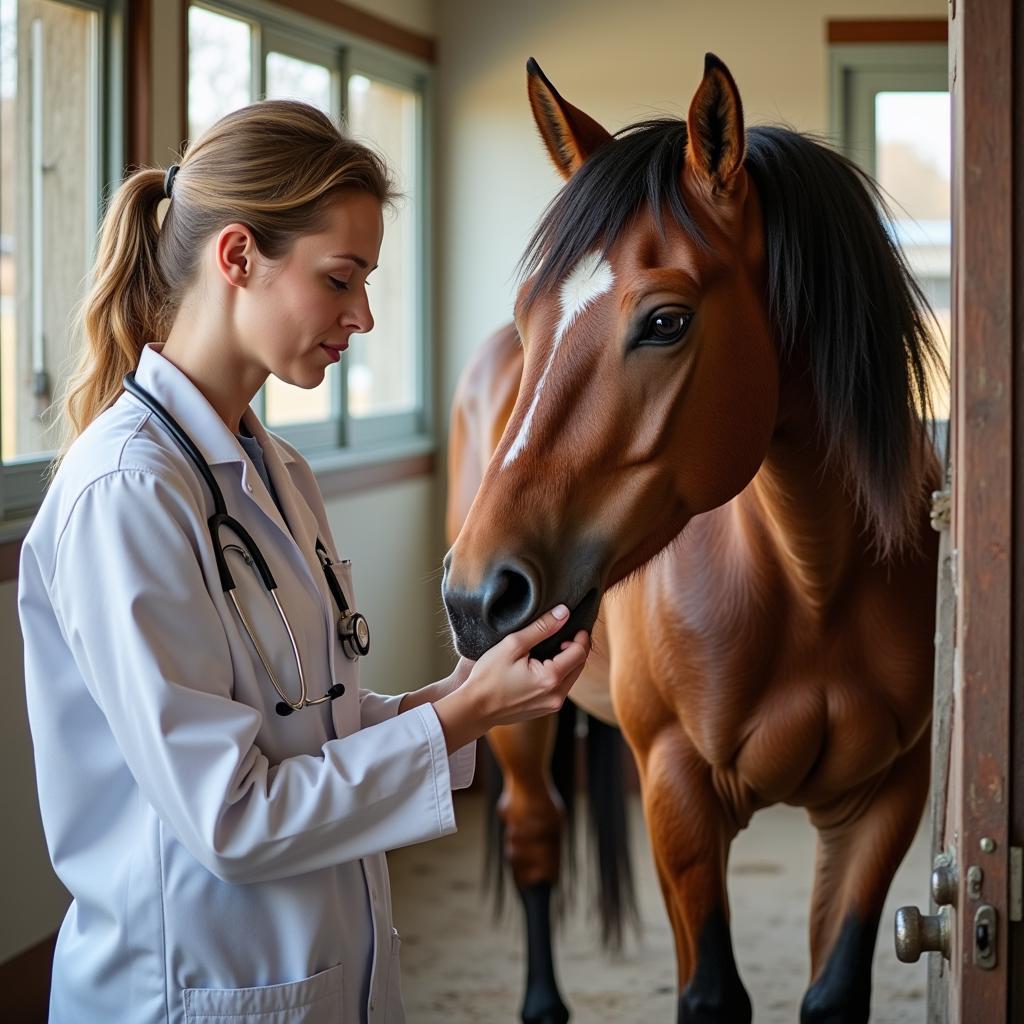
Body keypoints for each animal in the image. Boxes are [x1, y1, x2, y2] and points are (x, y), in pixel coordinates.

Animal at [444, 58, 937, 1024]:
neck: (811, 580)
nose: (479, 597)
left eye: (665, 321)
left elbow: (833, 991)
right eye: (530, 316)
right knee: (534, 834)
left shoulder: (884, 801)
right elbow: (709, 994)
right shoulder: (677, 792)